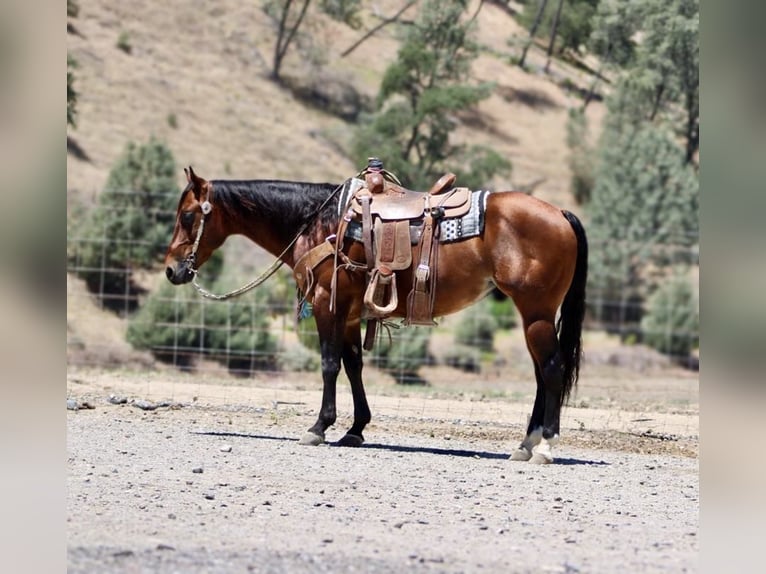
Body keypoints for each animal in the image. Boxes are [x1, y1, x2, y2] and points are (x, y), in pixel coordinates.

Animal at [164, 166, 588, 464]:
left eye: (187, 215)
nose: (171, 270)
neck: (320, 222)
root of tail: (560, 213)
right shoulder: (351, 314)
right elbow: (354, 366)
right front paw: (355, 428)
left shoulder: (327, 304)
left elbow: (329, 364)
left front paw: (319, 426)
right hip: (533, 316)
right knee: (541, 374)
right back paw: (525, 444)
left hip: (536, 313)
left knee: (551, 369)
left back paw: (544, 447)